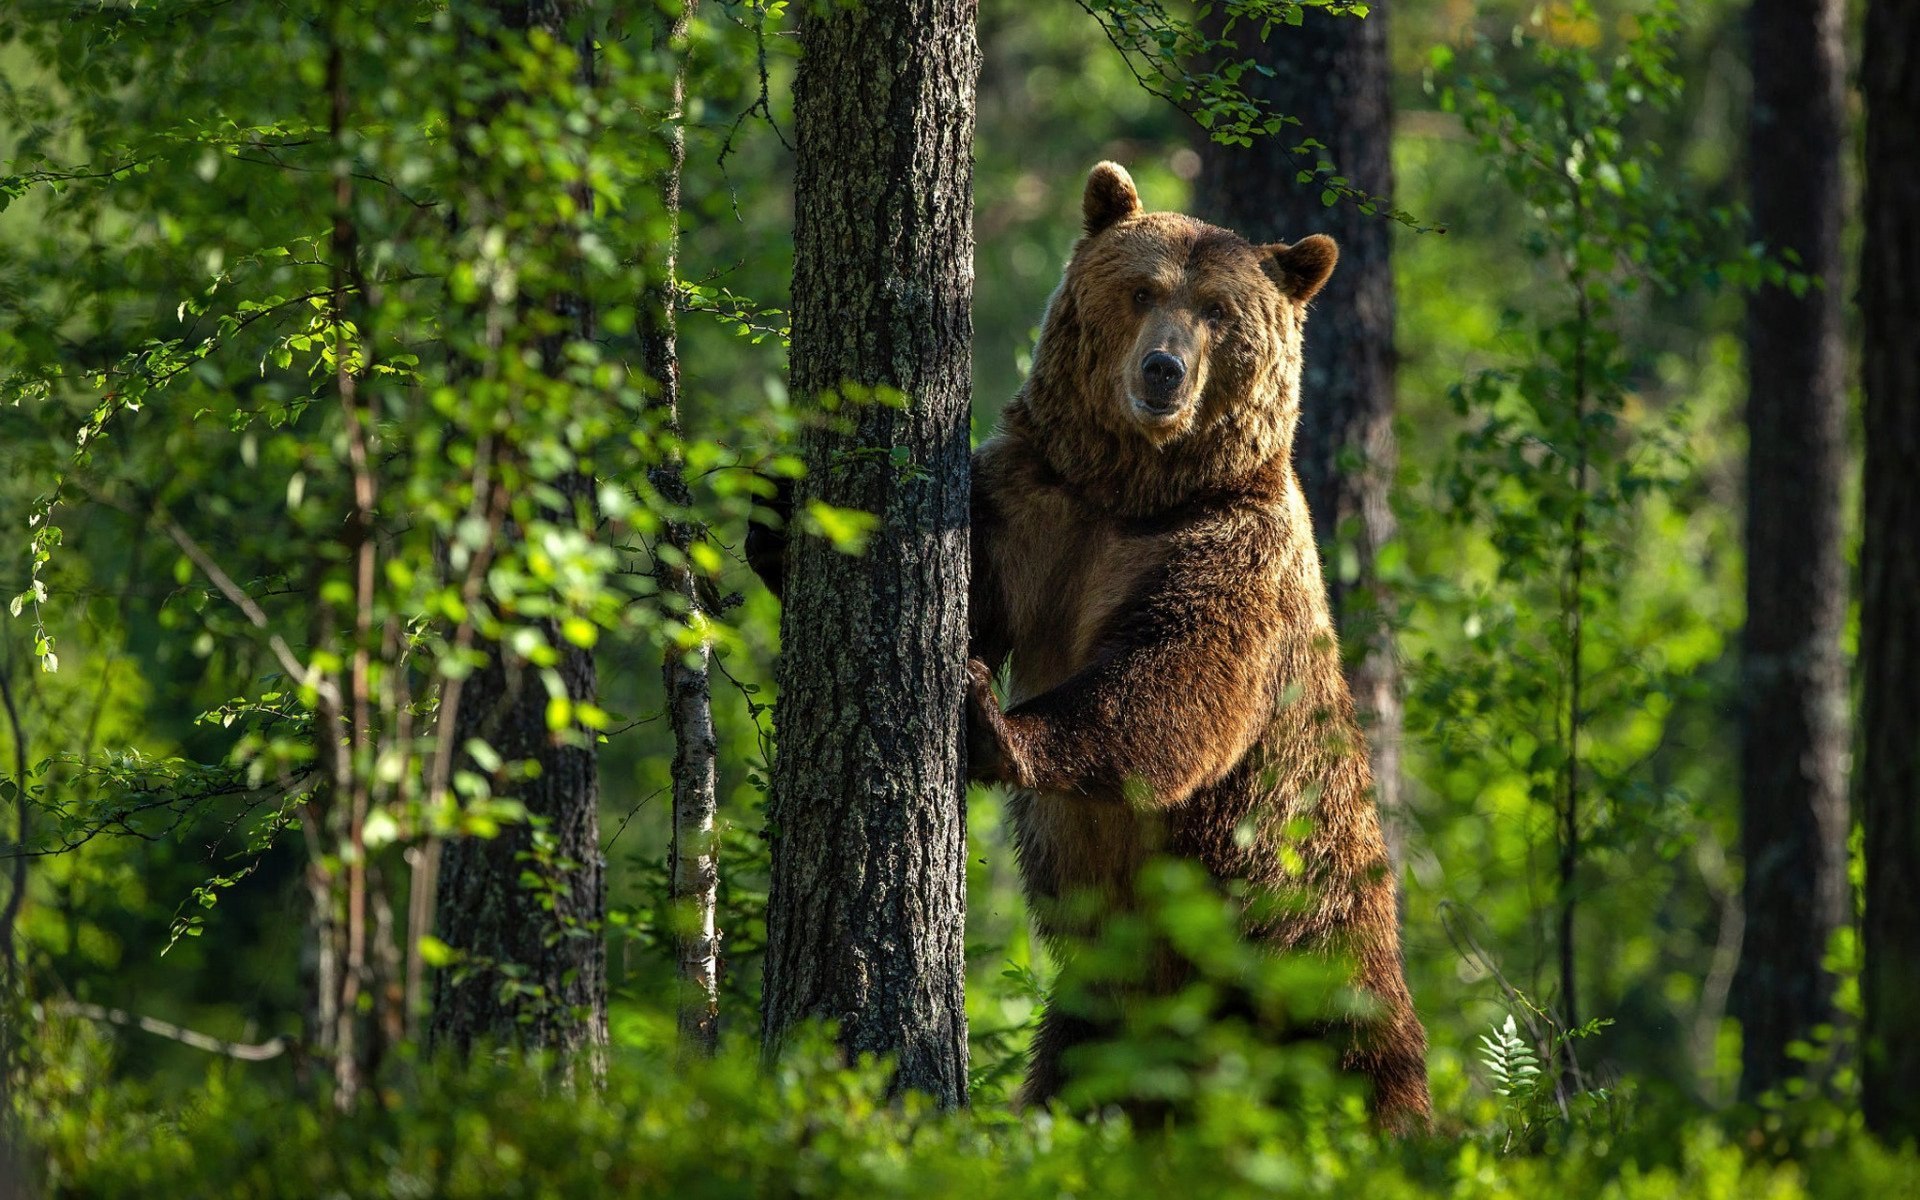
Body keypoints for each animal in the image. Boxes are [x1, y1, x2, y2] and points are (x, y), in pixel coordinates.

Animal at [967, 164, 1436, 1128]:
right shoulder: (1041, 502)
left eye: (1220, 311)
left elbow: (1176, 685)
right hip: (1108, 1013)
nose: (1163, 369)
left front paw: (996, 723)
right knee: (1072, 1078)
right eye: (1142, 289)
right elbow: (976, 568)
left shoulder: (1231, 552)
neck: (1137, 491)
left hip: (1305, 951)